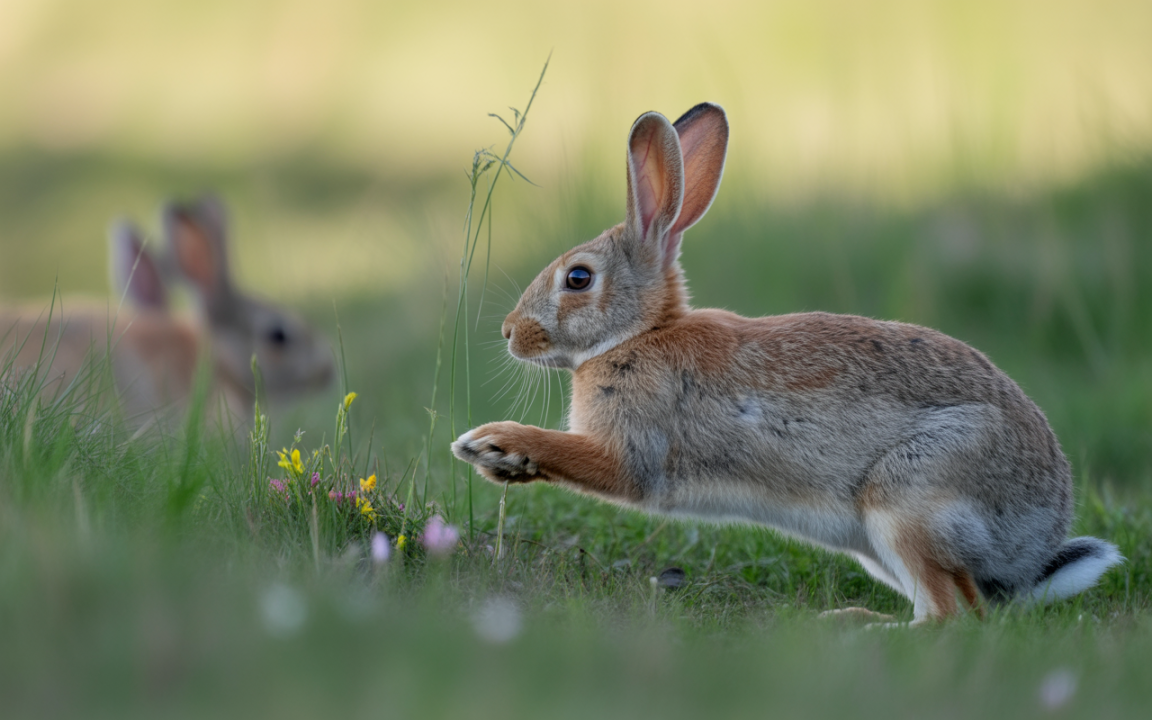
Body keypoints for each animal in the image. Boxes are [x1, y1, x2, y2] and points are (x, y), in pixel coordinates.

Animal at [452, 103, 1122, 625]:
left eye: (578, 278)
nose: (511, 333)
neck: (638, 334)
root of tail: (1036, 543)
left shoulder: (633, 450)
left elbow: (585, 459)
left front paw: (492, 443)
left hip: (909, 497)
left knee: (957, 615)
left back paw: (861, 631)